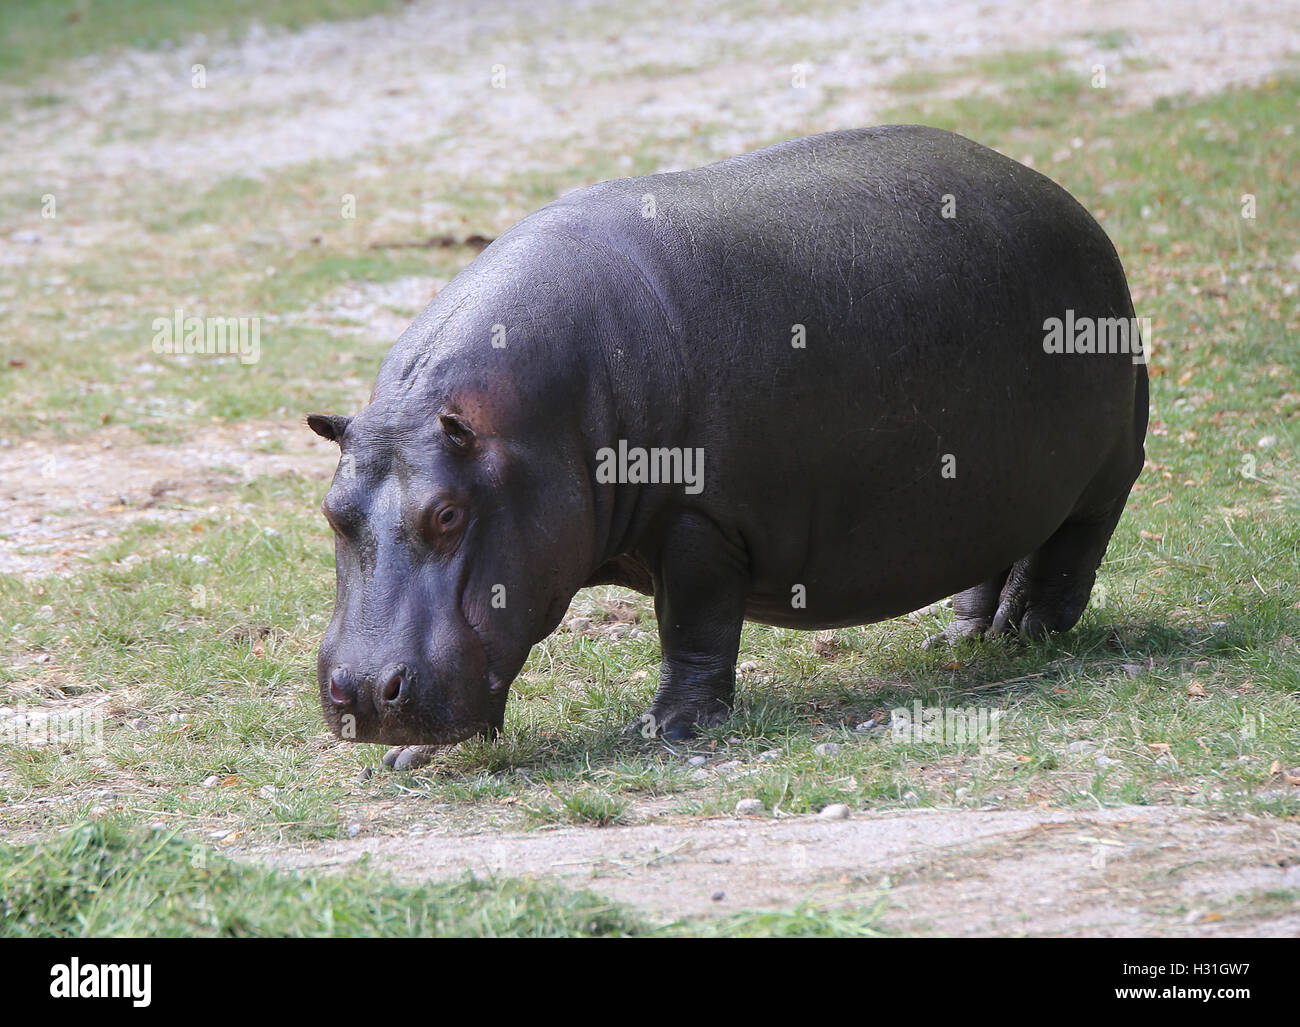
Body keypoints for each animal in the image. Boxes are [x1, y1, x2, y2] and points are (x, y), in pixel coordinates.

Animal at [306, 124, 1149, 769]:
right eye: (330, 509)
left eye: (448, 513)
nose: (365, 692)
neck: (527, 426)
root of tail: (1070, 204)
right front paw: (416, 755)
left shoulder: (701, 521)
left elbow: (695, 625)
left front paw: (670, 727)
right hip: (997, 487)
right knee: (997, 551)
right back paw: (965, 634)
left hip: (1105, 472)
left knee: (1071, 551)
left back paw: (1028, 632)